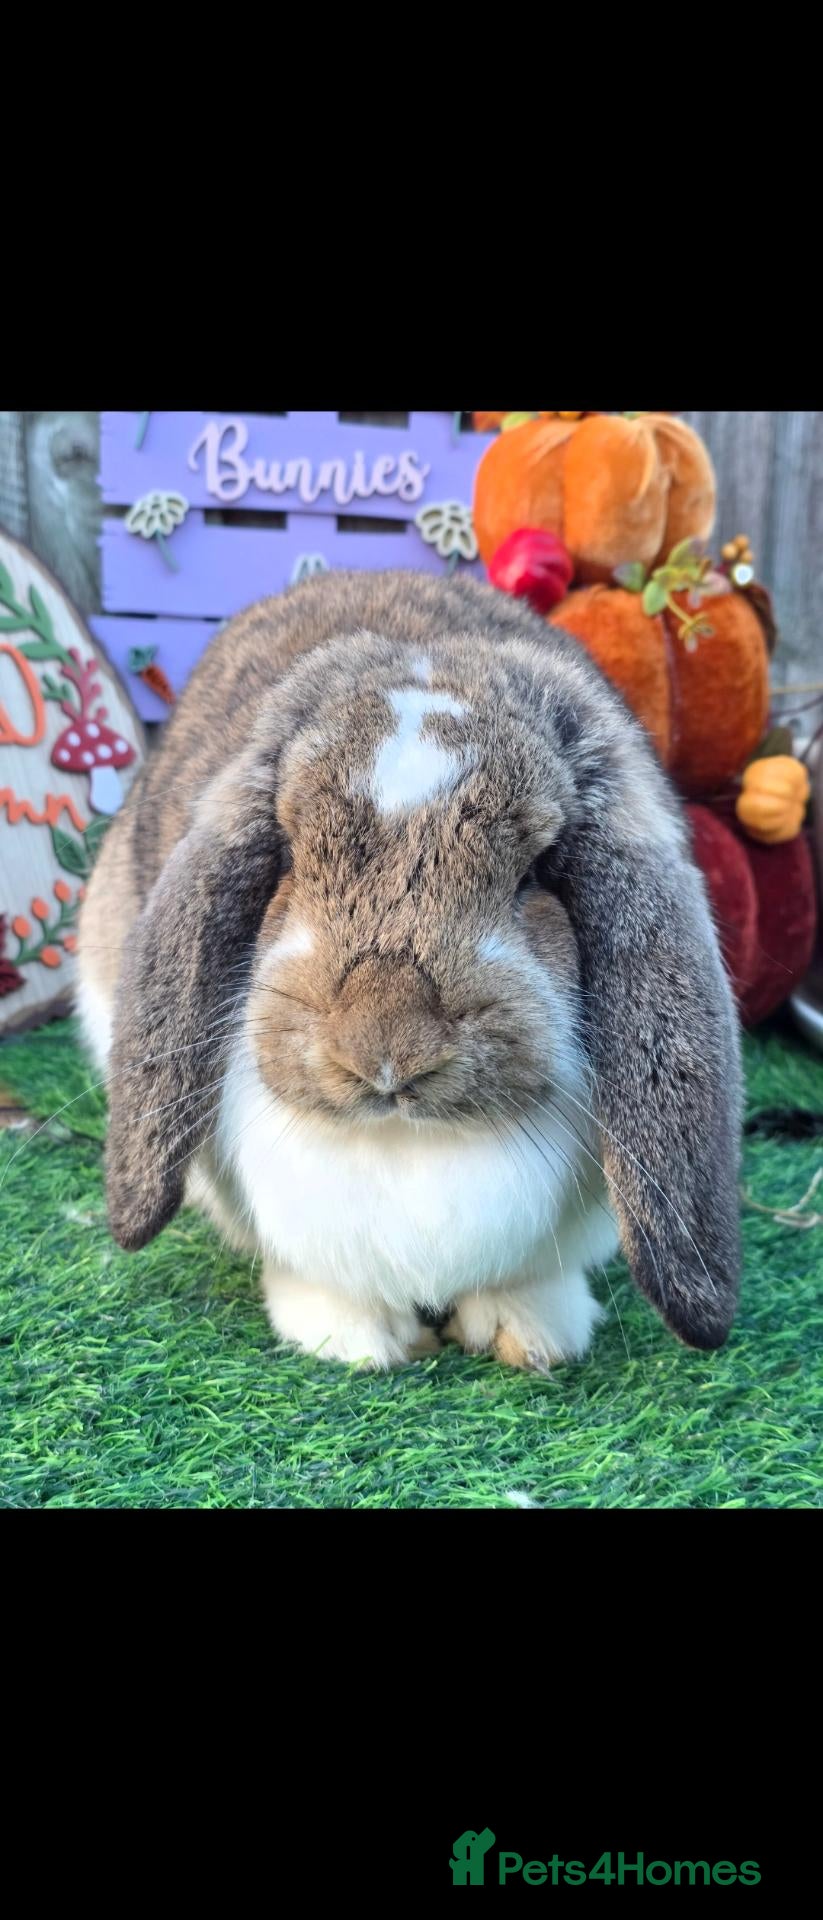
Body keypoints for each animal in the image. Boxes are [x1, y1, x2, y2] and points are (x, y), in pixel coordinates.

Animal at [77, 570, 742, 1372]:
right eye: (289, 855)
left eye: (537, 873)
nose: (385, 1050)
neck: (409, 1144)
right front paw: (356, 1343)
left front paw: (533, 1336)